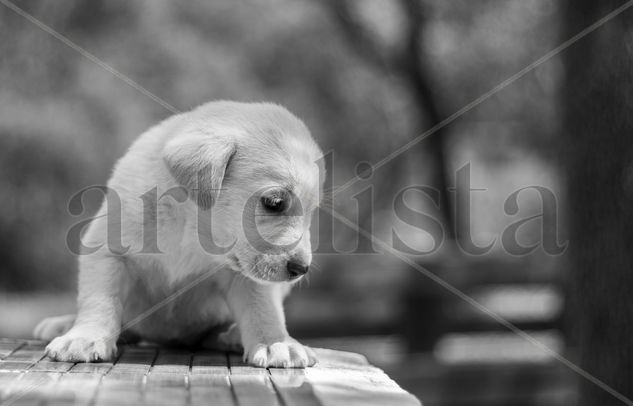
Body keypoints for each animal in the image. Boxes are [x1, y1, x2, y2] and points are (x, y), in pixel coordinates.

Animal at [32, 101, 324, 368]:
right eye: (274, 202)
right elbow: (100, 299)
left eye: (312, 211)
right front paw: (84, 337)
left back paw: (230, 335)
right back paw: (65, 324)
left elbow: (263, 308)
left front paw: (276, 342)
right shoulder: (106, 248)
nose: (302, 269)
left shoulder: (247, 275)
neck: (192, 231)